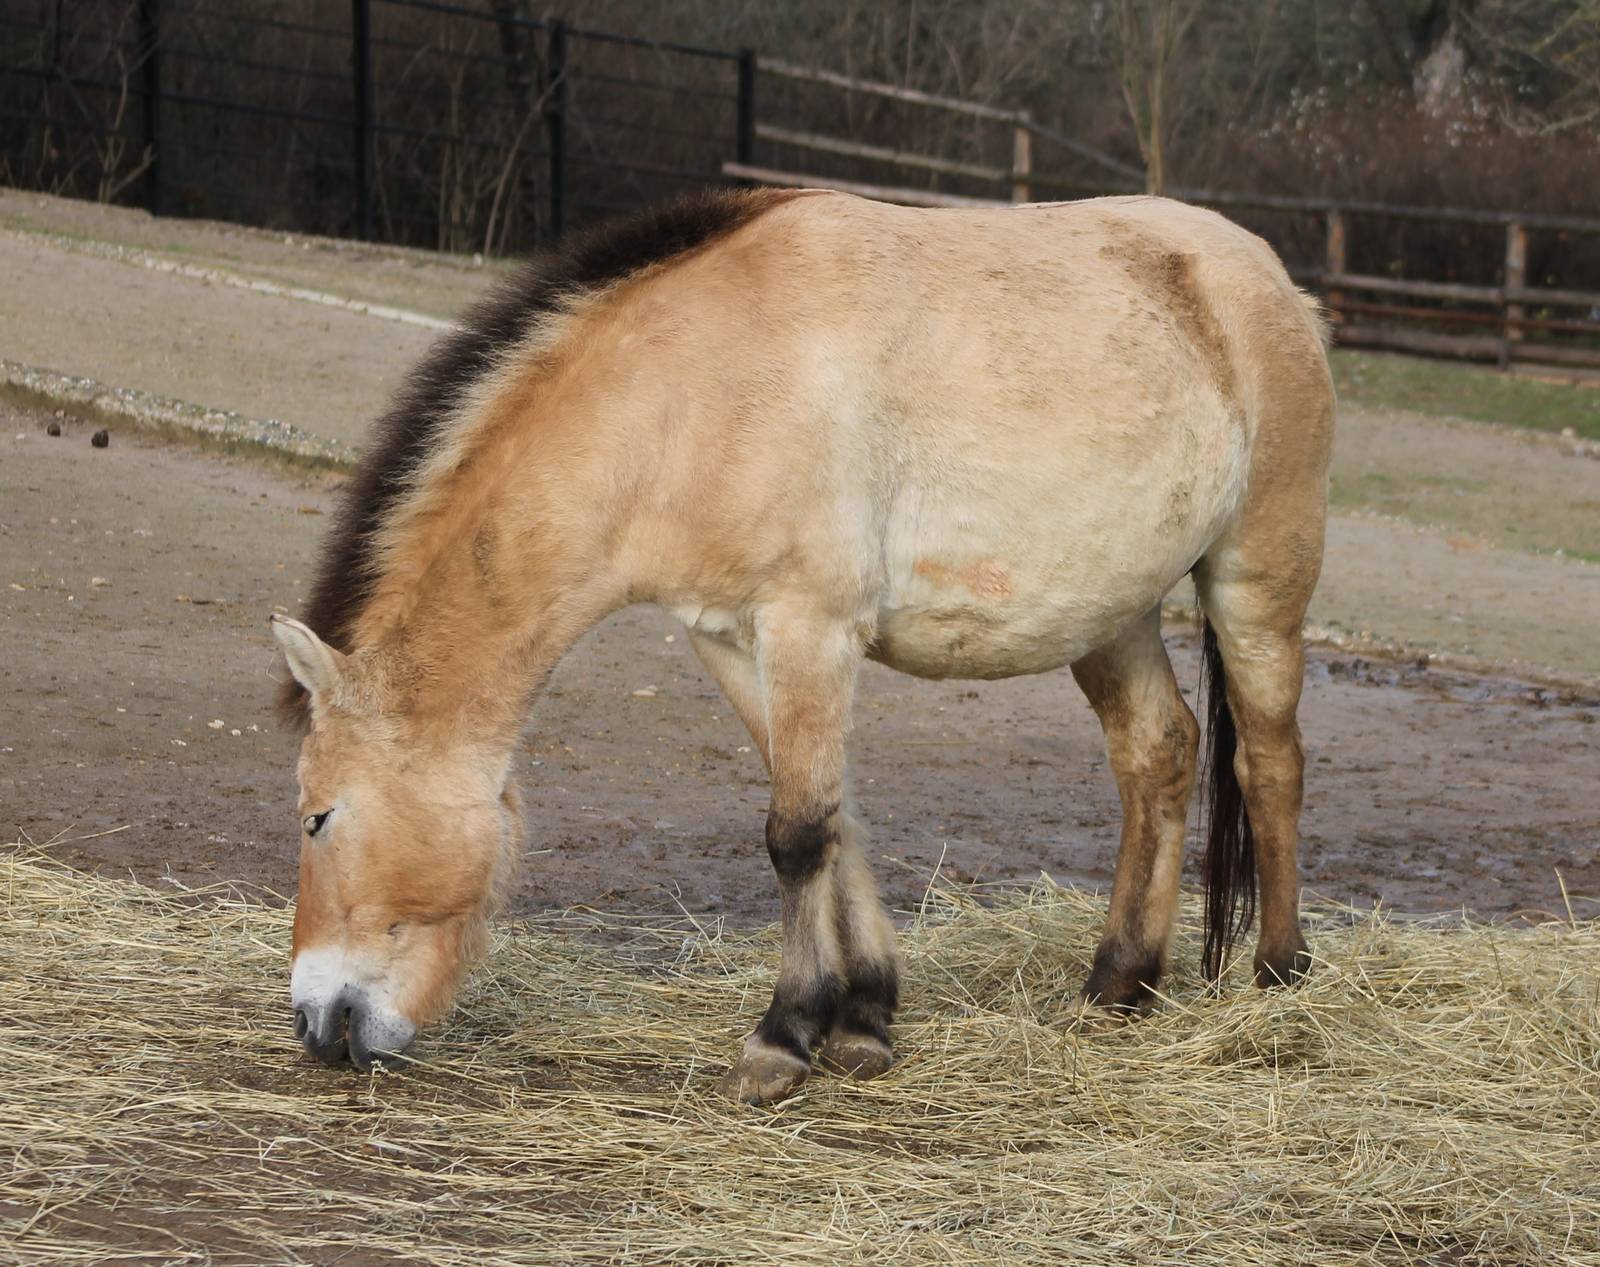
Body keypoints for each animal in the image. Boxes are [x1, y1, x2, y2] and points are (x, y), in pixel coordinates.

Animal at [272, 187, 1334, 1102]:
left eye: (320, 817)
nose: (320, 1023)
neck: (693, 394)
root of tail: (1265, 275)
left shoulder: (811, 626)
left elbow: (795, 834)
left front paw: (782, 1037)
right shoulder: (732, 638)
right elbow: (832, 816)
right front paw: (862, 1016)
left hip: (1256, 582)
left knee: (1272, 761)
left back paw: (1280, 978)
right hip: (1110, 614)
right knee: (1159, 753)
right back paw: (1120, 984)